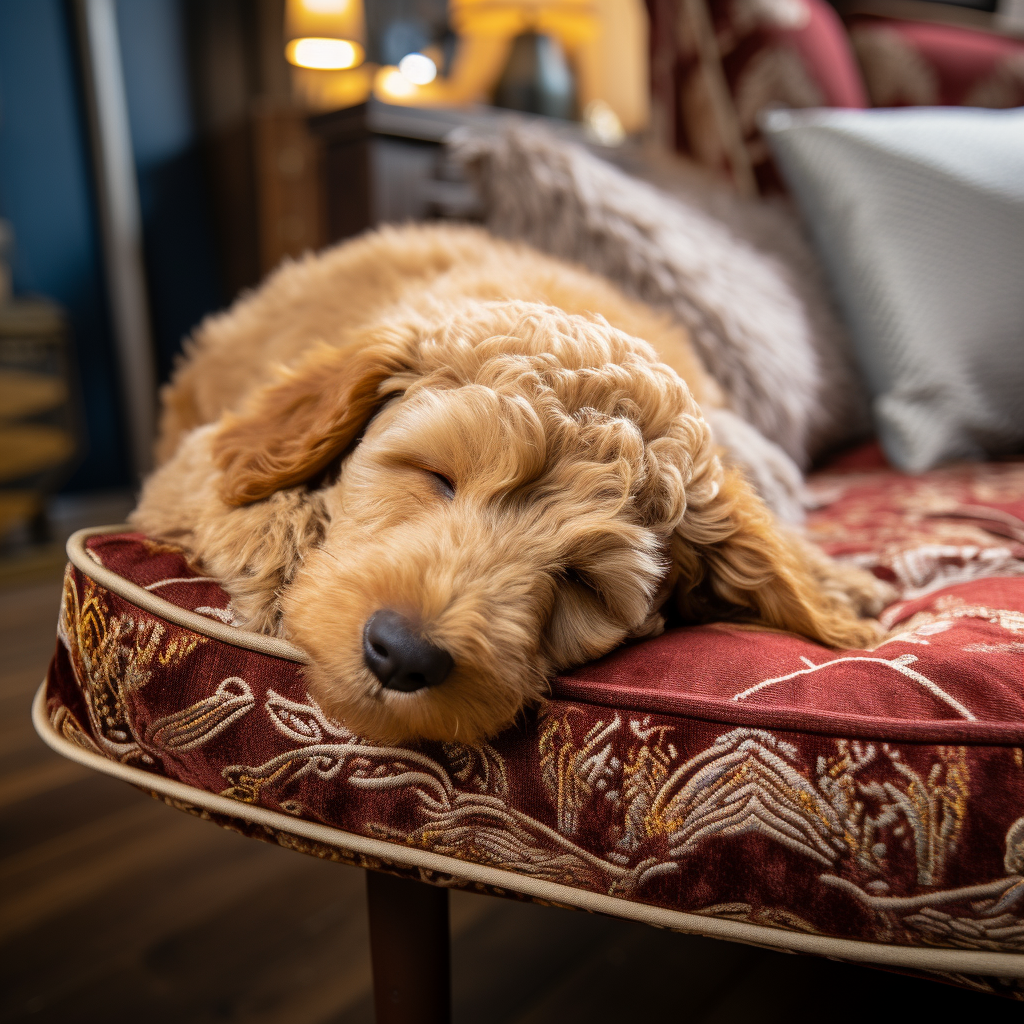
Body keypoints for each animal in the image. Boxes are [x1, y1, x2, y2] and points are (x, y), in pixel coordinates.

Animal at [134, 222, 888, 745]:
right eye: (438, 477)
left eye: (584, 582)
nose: (402, 656)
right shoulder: (205, 454)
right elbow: (240, 488)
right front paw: (282, 559)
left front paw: (832, 586)